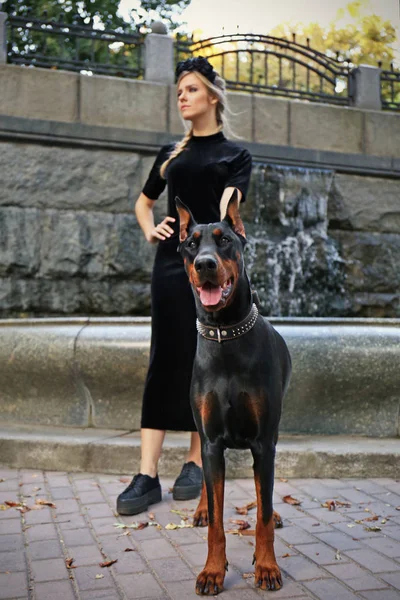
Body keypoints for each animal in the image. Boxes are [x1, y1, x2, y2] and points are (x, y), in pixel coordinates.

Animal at [177, 189, 292, 596]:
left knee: (263, 494)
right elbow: (216, 519)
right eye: (190, 245)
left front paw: (268, 566)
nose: (205, 263)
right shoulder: (212, 441)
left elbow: (262, 512)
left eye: (224, 240)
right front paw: (212, 570)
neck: (225, 335)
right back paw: (199, 509)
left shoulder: (263, 441)